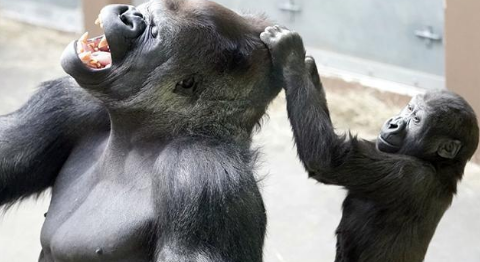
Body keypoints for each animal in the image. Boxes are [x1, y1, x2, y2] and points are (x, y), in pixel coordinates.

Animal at [262, 26, 480, 262]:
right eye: (409, 108)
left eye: (416, 120)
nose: (393, 123)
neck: (438, 163)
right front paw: (308, 68)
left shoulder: (409, 174)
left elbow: (330, 158)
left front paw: (290, 54)